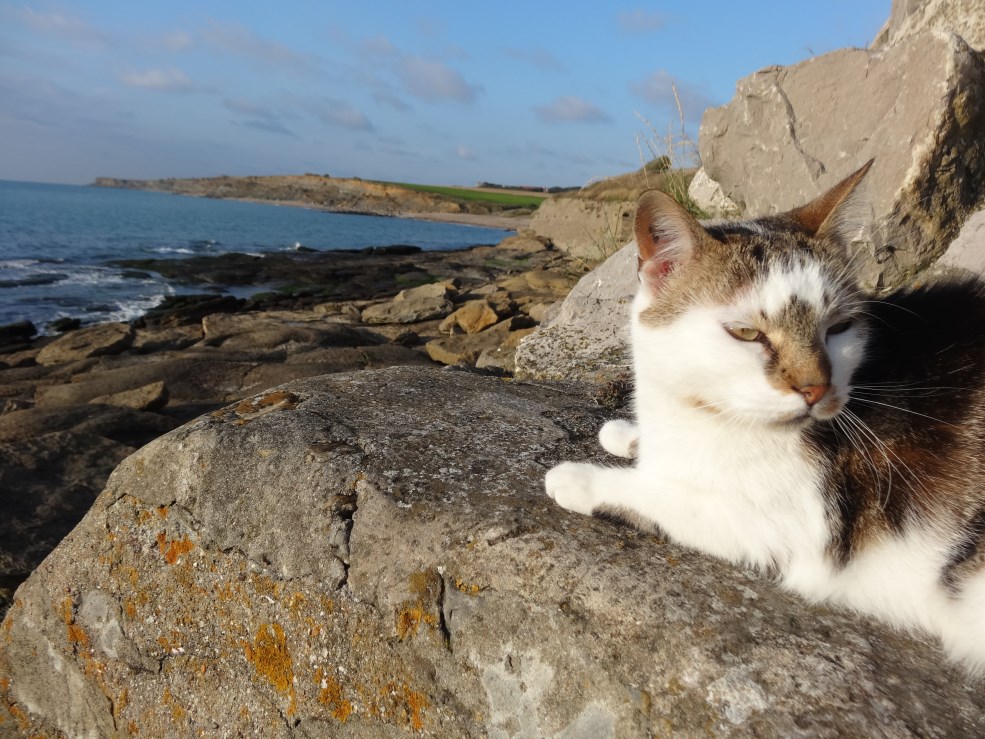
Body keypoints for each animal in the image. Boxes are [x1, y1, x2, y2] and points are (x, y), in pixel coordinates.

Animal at [540, 159, 984, 672]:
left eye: (839, 328)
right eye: (747, 333)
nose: (816, 389)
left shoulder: (793, 525)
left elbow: (667, 493)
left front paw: (579, 478)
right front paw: (629, 435)